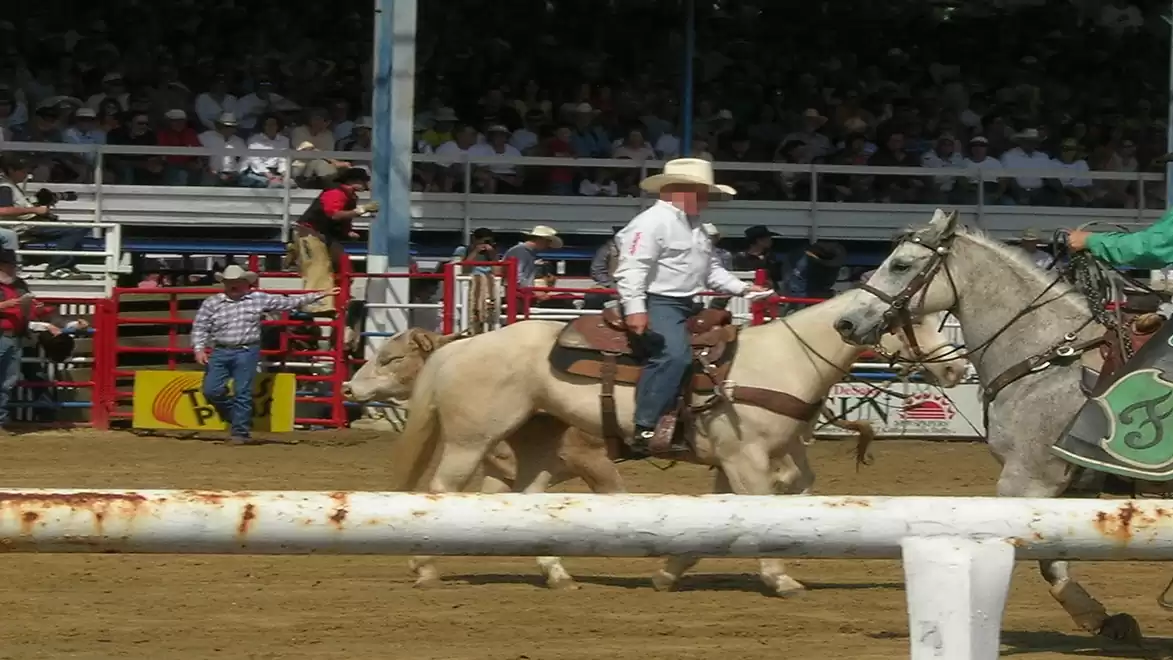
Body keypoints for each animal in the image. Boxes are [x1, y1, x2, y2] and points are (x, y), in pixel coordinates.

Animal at [347, 290, 968, 593]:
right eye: (911, 319)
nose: (957, 367)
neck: (785, 361)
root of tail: (462, 347)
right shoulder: (745, 459)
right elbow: (757, 510)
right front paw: (780, 578)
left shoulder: (762, 460)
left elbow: (766, 503)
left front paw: (670, 570)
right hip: (471, 441)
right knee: (441, 491)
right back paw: (425, 567)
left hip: (537, 441)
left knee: (526, 499)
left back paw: (556, 573)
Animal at [830, 208, 1143, 643]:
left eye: (901, 264)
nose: (844, 323)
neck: (1046, 360)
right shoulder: (1067, 488)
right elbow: (1055, 559)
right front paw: (1106, 620)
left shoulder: (1026, 480)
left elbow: (1043, 558)